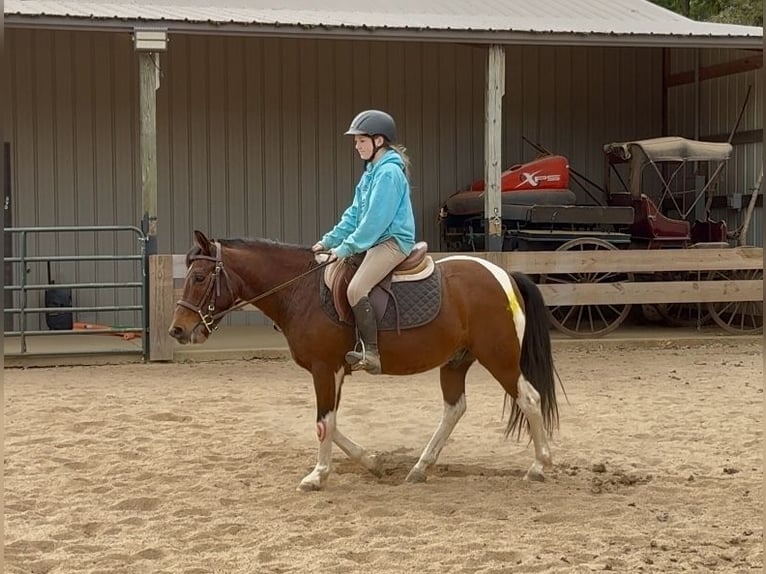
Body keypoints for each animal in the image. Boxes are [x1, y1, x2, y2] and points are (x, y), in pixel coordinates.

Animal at [169, 230, 560, 491]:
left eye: (199, 277)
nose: (178, 329)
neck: (302, 291)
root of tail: (504, 276)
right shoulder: (336, 370)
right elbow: (332, 421)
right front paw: (372, 462)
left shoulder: (324, 368)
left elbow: (323, 422)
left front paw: (317, 475)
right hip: (456, 361)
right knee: (454, 408)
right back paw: (420, 468)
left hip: (499, 358)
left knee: (529, 398)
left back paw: (539, 466)